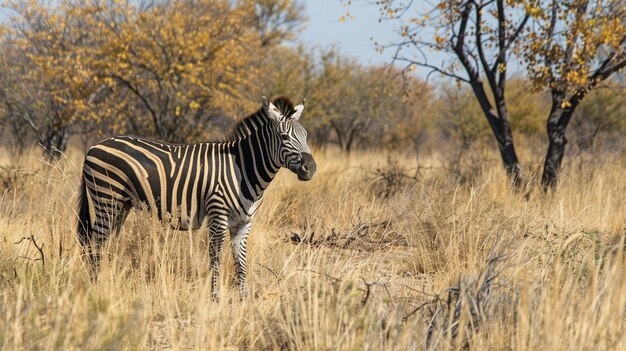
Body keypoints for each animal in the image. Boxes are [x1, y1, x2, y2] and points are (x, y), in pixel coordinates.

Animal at [75, 96, 314, 300]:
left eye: (305, 137)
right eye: (284, 137)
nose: (310, 168)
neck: (243, 169)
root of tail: (93, 146)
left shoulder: (243, 222)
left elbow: (241, 262)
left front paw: (244, 301)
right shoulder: (218, 217)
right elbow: (216, 259)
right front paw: (215, 299)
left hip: (121, 204)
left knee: (107, 242)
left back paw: (108, 281)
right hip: (106, 197)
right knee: (96, 241)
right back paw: (95, 286)